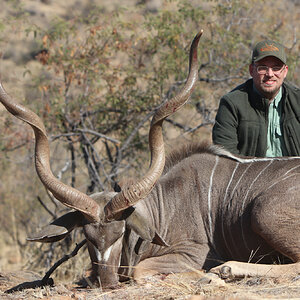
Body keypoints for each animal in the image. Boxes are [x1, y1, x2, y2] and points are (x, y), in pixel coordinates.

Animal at [0, 31, 300, 288]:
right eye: (87, 237)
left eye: (120, 232)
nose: (106, 281)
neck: (164, 206)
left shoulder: (194, 252)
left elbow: (141, 270)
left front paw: (208, 274)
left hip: (263, 212)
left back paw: (224, 271)